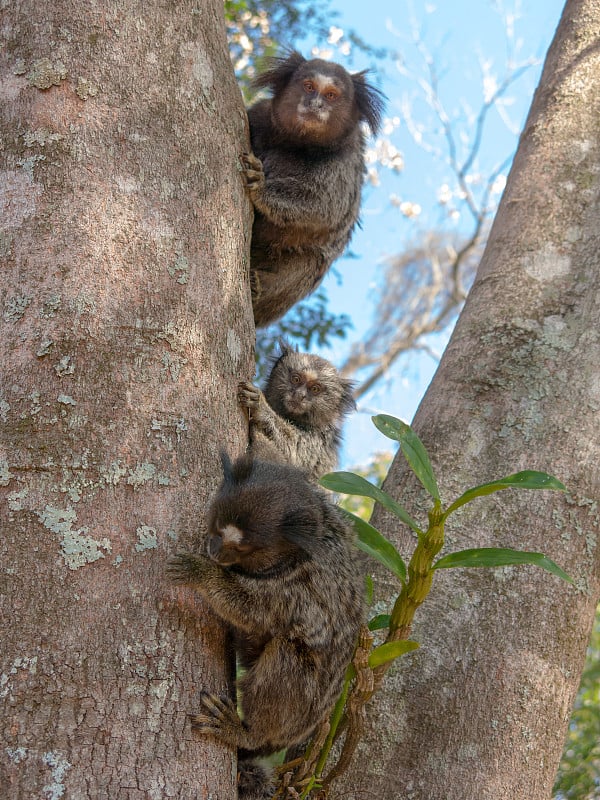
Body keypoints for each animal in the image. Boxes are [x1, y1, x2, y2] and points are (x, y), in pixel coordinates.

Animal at [166, 454, 364, 796]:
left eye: (243, 548)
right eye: (217, 530)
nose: (216, 551)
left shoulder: (296, 587)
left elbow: (252, 609)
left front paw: (202, 573)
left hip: (299, 713)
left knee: (288, 653)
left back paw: (245, 732)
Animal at [237, 340, 354, 478]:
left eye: (315, 389)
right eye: (296, 379)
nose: (299, 395)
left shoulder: (320, 440)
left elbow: (296, 454)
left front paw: (262, 408)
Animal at [243, 50, 386, 326]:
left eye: (331, 95)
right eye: (308, 87)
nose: (315, 105)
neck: (296, 143)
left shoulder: (344, 164)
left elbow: (324, 207)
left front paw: (261, 187)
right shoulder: (258, 116)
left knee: (308, 263)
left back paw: (256, 291)